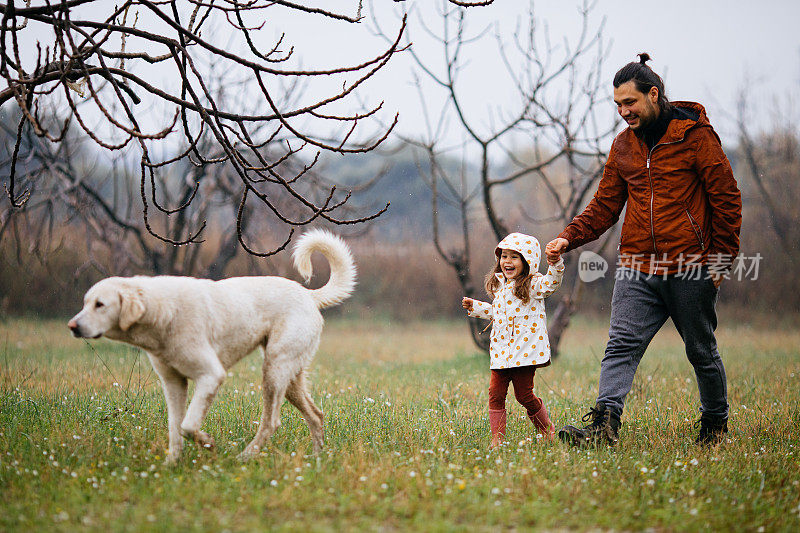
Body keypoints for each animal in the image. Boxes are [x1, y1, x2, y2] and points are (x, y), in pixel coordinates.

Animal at [67, 229, 354, 462]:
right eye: (85, 302)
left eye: (100, 304)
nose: (72, 326)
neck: (163, 310)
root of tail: (308, 294)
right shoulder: (173, 383)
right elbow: (175, 428)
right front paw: (172, 465)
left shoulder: (211, 376)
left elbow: (188, 425)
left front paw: (208, 444)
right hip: (289, 377)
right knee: (316, 415)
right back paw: (316, 460)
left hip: (274, 371)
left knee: (272, 421)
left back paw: (245, 457)